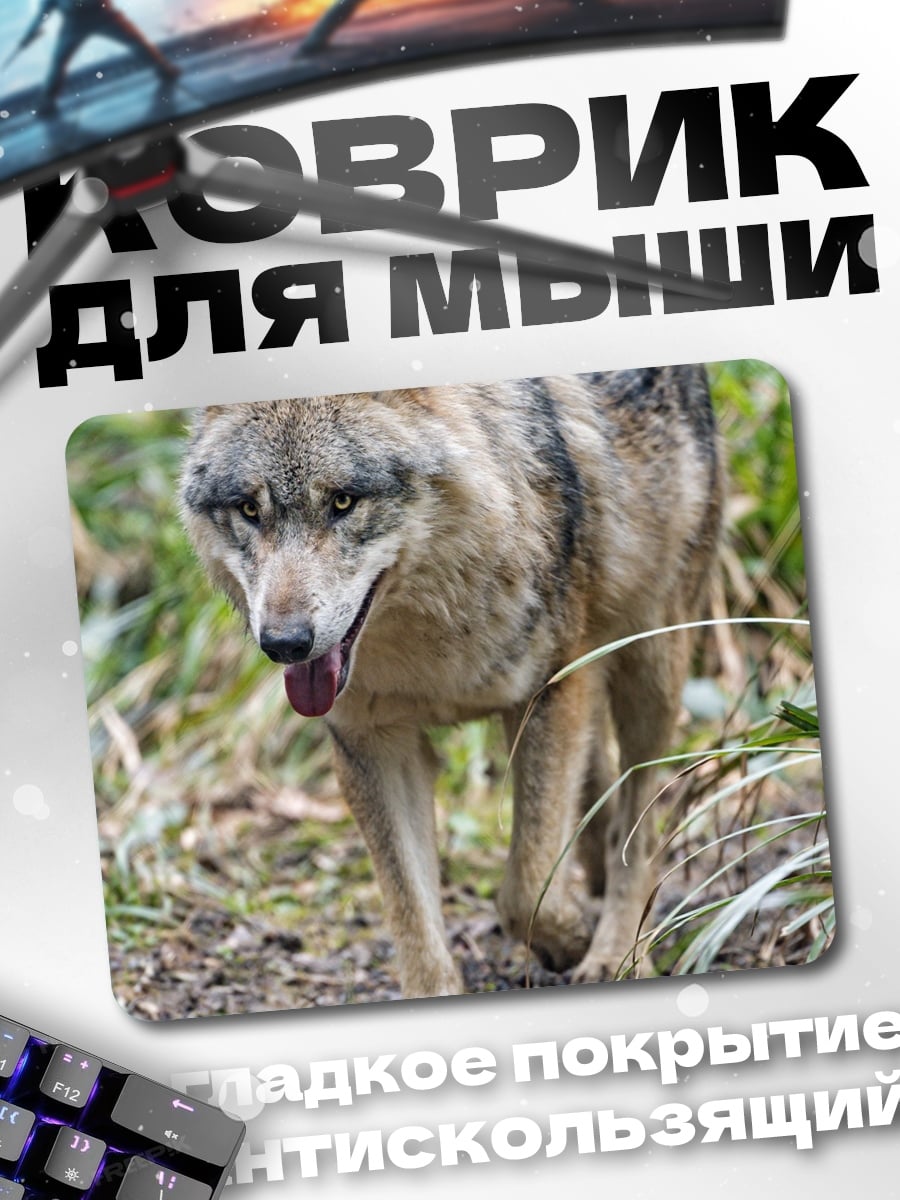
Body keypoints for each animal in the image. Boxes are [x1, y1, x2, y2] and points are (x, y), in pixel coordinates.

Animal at [179, 366, 723, 997]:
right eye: (249, 509)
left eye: (342, 501)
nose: (283, 643)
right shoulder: (373, 745)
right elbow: (415, 919)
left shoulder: (549, 691)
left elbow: (525, 889)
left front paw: (568, 940)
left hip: (651, 665)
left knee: (640, 818)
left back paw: (615, 952)